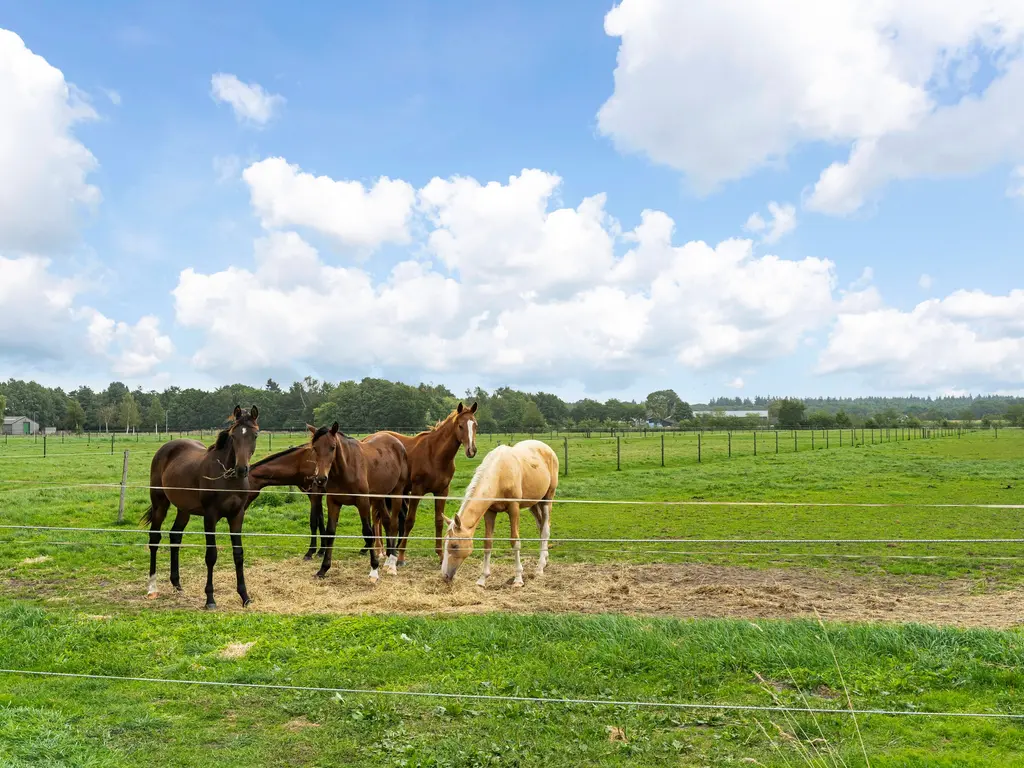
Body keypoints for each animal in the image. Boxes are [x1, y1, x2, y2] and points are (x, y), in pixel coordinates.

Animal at [141, 405, 260, 610]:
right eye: (234, 435)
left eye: (255, 435)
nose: (241, 469)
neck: (228, 478)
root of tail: (164, 449)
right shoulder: (210, 517)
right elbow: (211, 555)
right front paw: (210, 599)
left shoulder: (237, 516)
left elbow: (238, 554)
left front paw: (245, 596)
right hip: (160, 504)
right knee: (154, 539)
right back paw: (152, 587)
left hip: (183, 510)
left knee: (175, 536)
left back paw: (177, 584)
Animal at [305, 423, 409, 581]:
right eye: (315, 448)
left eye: (332, 447)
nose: (321, 479)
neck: (346, 469)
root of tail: (397, 443)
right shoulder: (333, 502)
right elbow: (330, 533)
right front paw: (323, 569)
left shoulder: (363, 502)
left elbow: (368, 532)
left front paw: (374, 570)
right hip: (379, 497)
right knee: (387, 522)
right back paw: (387, 560)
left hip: (396, 493)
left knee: (394, 524)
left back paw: (392, 564)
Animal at [385, 403, 479, 565]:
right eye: (460, 426)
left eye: (475, 425)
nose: (471, 450)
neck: (435, 455)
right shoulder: (417, 491)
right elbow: (410, 521)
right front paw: (402, 557)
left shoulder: (442, 492)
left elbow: (439, 521)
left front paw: (440, 555)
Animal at [440, 438, 561, 589]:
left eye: (454, 545)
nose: (444, 576)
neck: (499, 474)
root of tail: (547, 448)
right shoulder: (490, 511)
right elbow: (488, 543)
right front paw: (482, 579)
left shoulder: (514, 508)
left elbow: (515, 541)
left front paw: (518, 579)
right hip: (533, 503)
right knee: (541, 526)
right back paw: (545, 559)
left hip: (547, 499)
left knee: (545, 530)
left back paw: (539, 568)